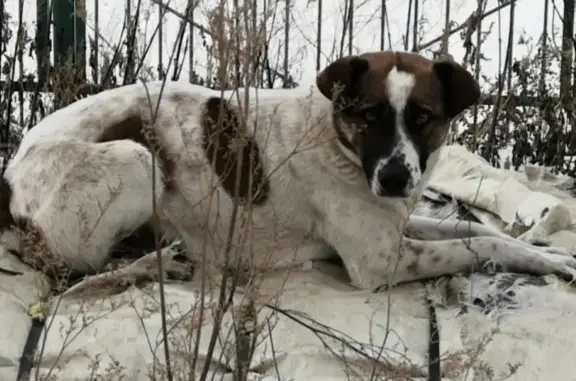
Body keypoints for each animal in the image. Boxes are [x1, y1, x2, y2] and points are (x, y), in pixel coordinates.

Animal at [3, 49, 576, 290]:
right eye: (369, 116)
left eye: (423, 118)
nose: (393, 181)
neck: (337, 143)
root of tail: (9, 176)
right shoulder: (380, 262)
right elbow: (476, 245)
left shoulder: (397, 221)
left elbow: (475, 229)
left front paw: (547, 252)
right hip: (135, 159)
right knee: (69, 276)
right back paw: (152, 266)